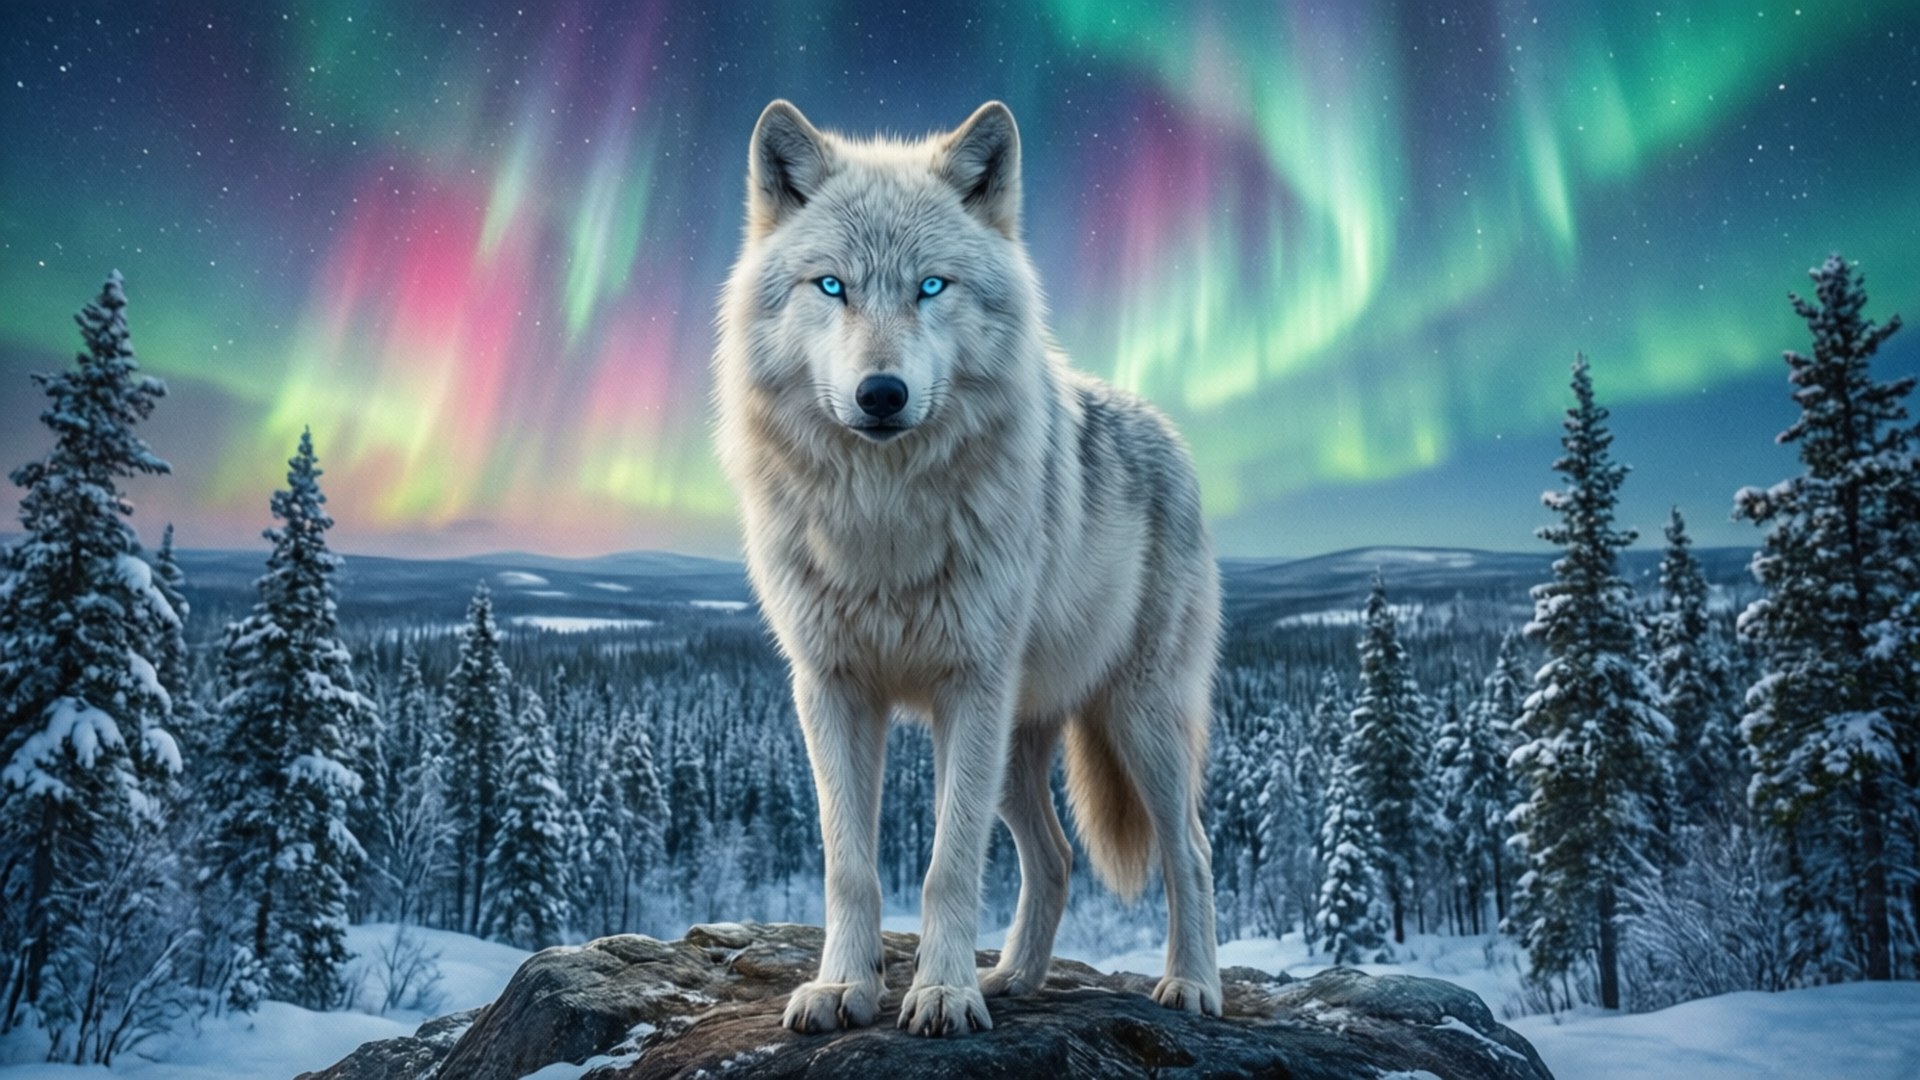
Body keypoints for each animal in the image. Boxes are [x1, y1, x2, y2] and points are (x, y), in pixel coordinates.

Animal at [713, 99, 1222, 1037]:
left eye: (931, 287)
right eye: (832, 287)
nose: (881, 394)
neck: (883, 521)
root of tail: (1163, 425)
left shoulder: (968, 687)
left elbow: (947, 865)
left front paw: (942, 993)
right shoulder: (831, 688)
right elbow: (849, 864)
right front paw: (844, 987)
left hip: (1135, 721)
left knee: (1192, 851)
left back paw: (1192, 985)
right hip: (1020, 749)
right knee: (1055, 857)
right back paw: (1014, 978)